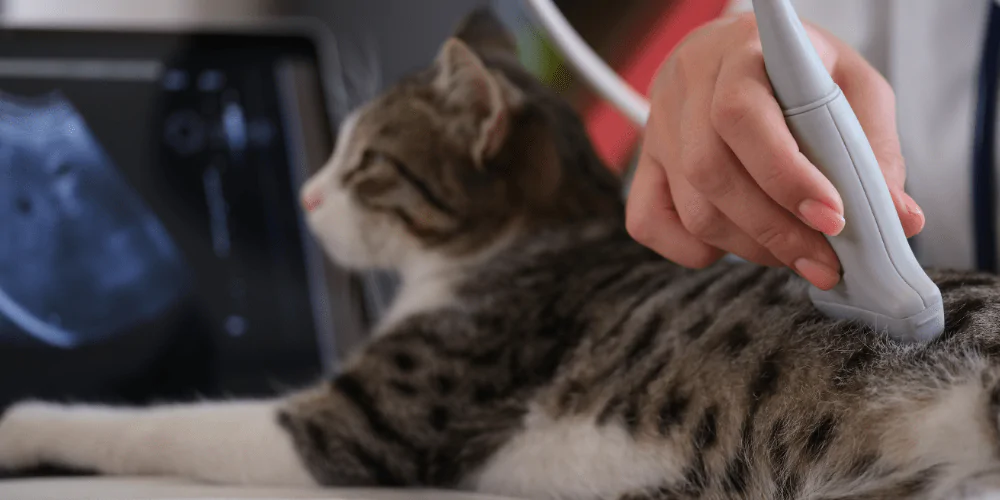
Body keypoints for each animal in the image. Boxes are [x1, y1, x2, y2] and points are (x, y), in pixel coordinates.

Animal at [3, 7, 1000, 500]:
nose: (305, 193)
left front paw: (23, 422)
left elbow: (158, 422)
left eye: (363, 164)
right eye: (333, 153)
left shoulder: (360, 425)